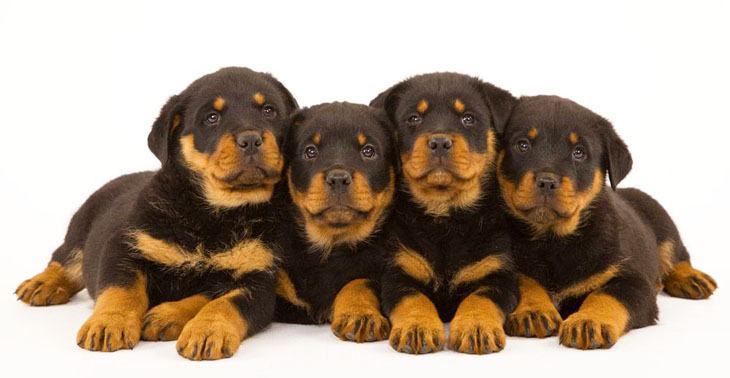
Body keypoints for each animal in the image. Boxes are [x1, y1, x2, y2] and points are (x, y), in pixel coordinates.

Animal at [13, 67, 296, 360]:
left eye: (269, 110)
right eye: (212, 117)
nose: (250, 139)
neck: (213, 214)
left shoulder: (260, 281)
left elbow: (220, 302)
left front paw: (197, 327)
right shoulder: (124, 246)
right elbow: (121, 290)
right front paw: (109, 322)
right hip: (79, 229)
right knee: (65, 259)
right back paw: (42, 283)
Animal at [272, 102, 396, 342]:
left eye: (368, 151)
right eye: (310, 151)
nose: (338, 178)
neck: (332, 245)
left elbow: (359, 282)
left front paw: (360, 314)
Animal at [372, 73, 520, 354]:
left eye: (468, 119)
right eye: (413, 118)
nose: (439, 142)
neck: (445, 218)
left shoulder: (497, 274)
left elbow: (479, 299)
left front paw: (476, 327)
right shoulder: (398, 271)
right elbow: (414, 299)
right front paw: (417, 327)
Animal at [494, 96, 716, 350]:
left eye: (579, 152)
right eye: (522, 145)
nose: (547, 182)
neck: (553, 240)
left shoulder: (632, 280)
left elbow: (606, 295)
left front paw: (589, 321)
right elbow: (526, 281)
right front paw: (533, 309)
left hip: (662, 219)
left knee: (677, 253)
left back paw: (691, 278)